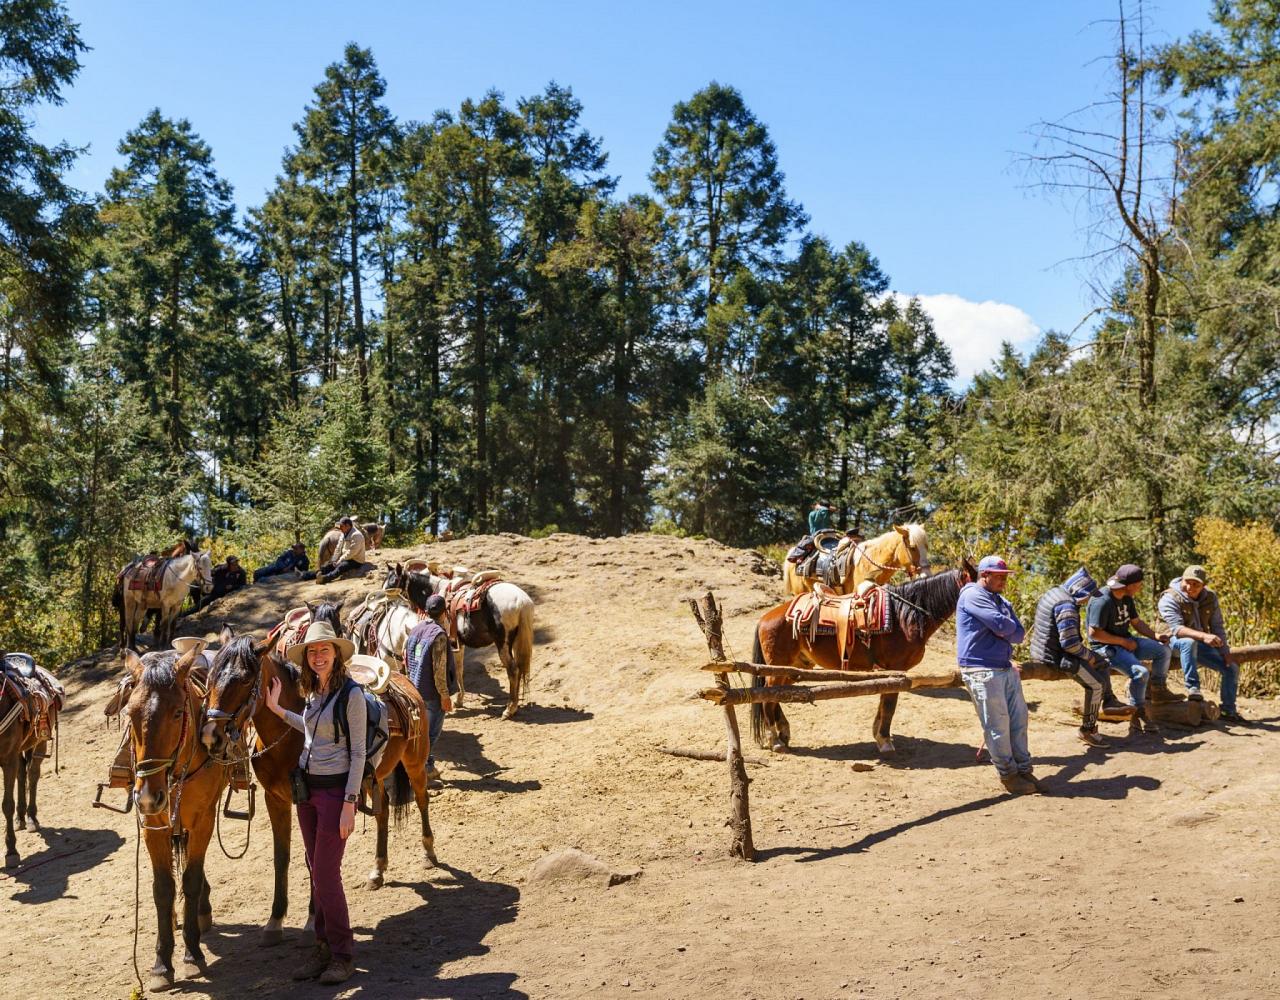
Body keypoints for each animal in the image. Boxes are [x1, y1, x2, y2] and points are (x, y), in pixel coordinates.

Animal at [120, 642, 226, 988]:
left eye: (178, 712)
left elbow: (190, 880)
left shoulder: (203, 819)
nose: (148, 796)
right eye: (130, 713)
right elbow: (163, 888)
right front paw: (161, 963)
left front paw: (192, 955)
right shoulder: (153, 825)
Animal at [747, 553, 967, 747]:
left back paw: (783, 732)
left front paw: (879, 735)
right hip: (778, 668)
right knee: (768, 698)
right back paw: (775, 740)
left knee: (776, 696)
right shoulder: (897, 669)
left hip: (791, 669)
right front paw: (885, 741)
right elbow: (889, 705)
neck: (904, 615)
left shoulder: (888, 672)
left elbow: (884, 702)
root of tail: (765, 618)